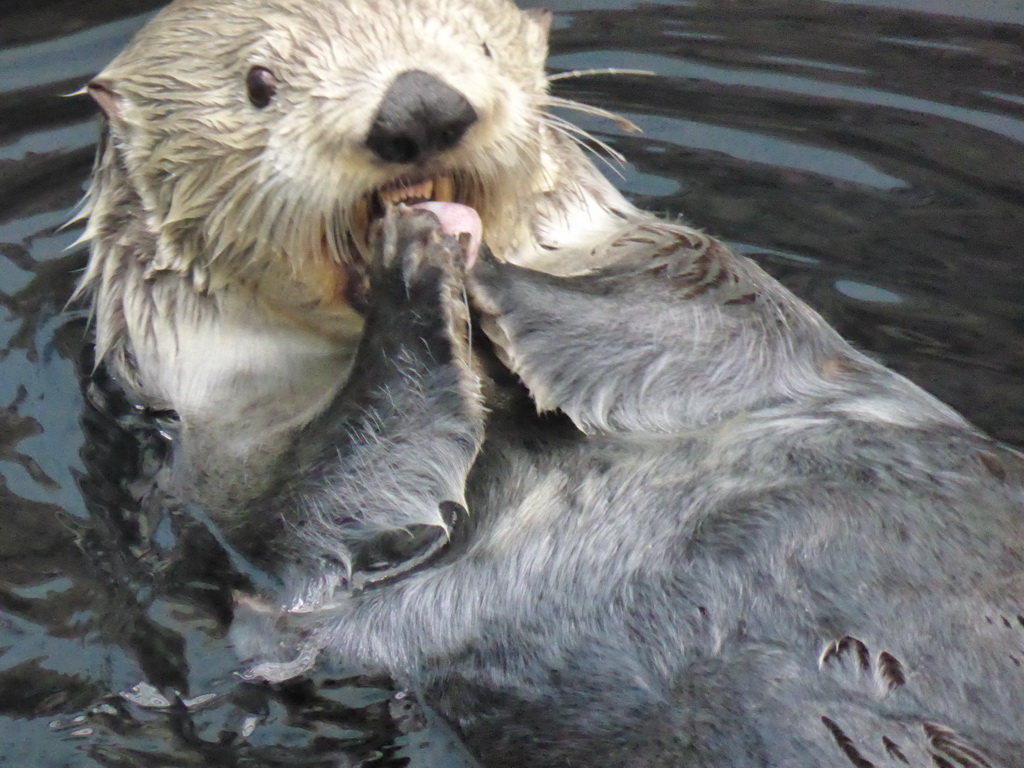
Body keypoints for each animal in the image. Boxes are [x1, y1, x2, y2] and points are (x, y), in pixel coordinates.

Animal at [75, 1, 1024, 768]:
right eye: (259, 83)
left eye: (483, 45)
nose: (419, 107)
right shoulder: (233, 463)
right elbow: (337, 515)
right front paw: (416, 275)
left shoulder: (707, 294)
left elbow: (693, 321)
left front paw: (474, 259)